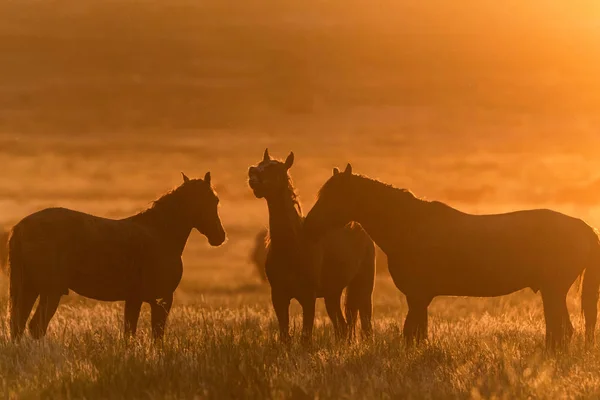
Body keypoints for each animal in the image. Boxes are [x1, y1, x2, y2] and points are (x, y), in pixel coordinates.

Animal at [6, 171, 227, 340]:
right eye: (213, 200)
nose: (219, 236)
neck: (159, 233)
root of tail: (20, 227)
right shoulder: (162, 299)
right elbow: (156, 335)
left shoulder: (134, 299)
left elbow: (130, 333)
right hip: (49, 291)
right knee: (35, 326)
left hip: (30, 289)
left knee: (18, 325)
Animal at [248, 150, 376, 344]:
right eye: (260, 164)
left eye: (274, 169)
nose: (252, 173)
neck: (293, 246)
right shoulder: (278, 297)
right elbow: (285, 335)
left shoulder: (308, 298)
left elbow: (305, 337)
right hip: (332, 294)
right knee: (342, 326)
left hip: (363, 286)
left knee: (364, 321)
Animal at [304, 163, 600, 350]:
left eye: (334, 197)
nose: (308, 226)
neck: (409, 226)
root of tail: (584, 227)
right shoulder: (419, 298)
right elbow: (418, 334)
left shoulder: (417, 296)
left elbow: (410, 334)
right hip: (553, 293)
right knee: (560, 330)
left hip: (554, 291)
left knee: (561, 331)